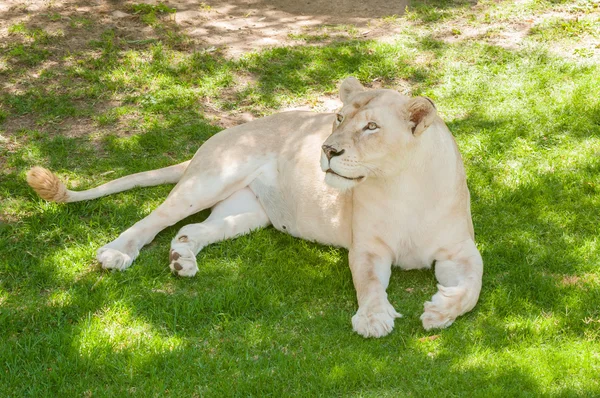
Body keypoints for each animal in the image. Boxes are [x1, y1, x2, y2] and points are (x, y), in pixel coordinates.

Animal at [27, 77, 482, 336]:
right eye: (338, 118)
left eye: (371, 126)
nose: (326, 150)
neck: (401, 184)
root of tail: (226, 132)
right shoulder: (367, 249)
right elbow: (369, 283)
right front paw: (373, 320)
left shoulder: (461, 251)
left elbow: (472, 288)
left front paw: (440, 311)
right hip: (210, 179)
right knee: (155, 219)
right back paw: (116, 253)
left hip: (247, 213)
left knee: (191, 230)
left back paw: (181, 261)